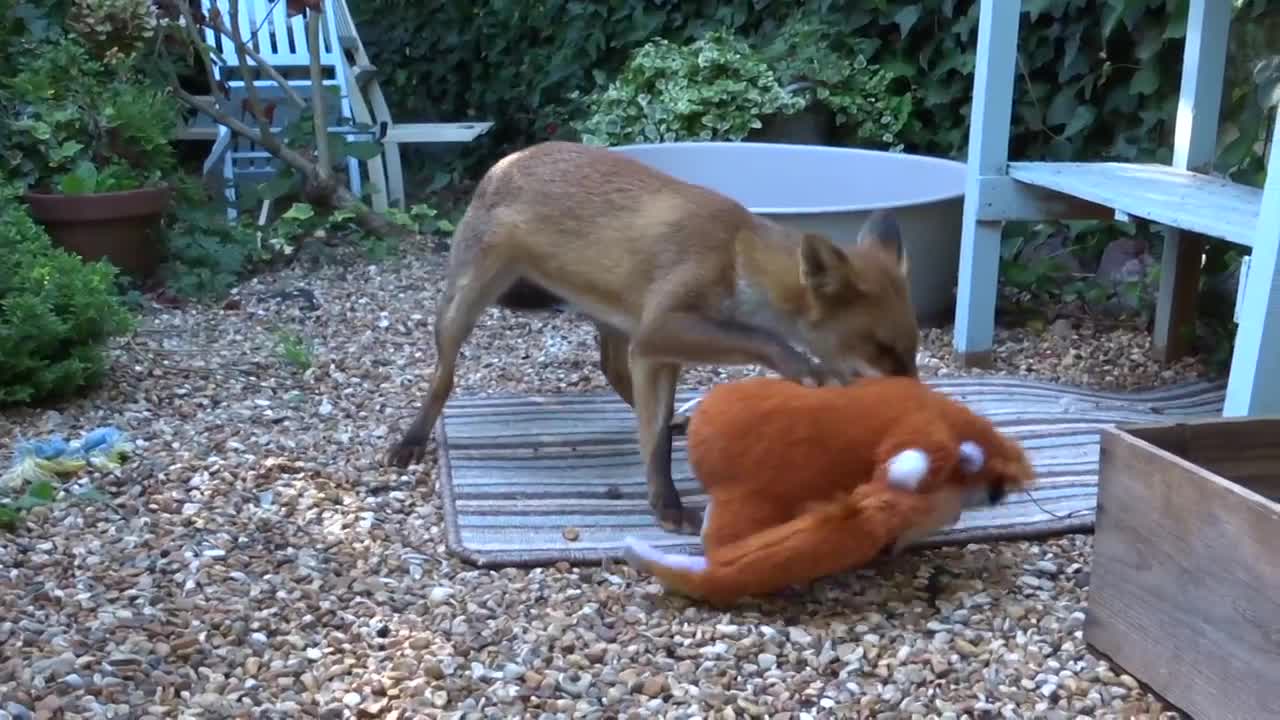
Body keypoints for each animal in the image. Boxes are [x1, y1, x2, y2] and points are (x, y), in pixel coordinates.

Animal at [381, 140, 921, 532]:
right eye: (882, 348)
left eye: (912, 350)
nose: (916, 400)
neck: (735, 258)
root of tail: (509, 158)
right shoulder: (663, 327)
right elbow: (756, 351)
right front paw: (668, 506)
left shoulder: (660, 349)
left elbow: (656, 435)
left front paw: (665, 496)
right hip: (462, 309)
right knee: (443, 378)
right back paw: (412, 439)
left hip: (620, 323)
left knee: (611, 369)